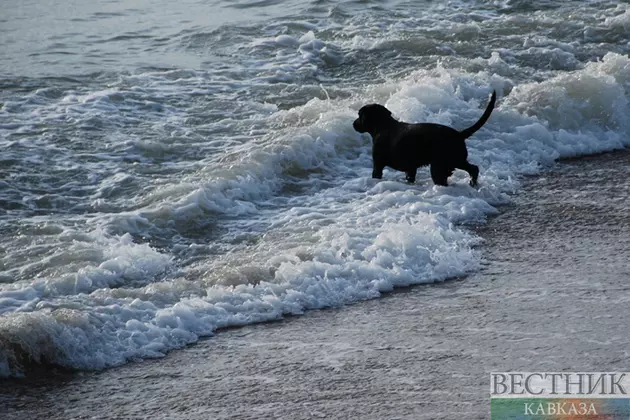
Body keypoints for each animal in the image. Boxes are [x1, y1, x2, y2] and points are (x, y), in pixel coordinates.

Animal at [354, 92, 496, 187]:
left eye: (359, 115)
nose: (353, 124)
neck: (383, 126)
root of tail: (459, 134)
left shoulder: (377, 165)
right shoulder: (410, 168)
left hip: (442, 165)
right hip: (457, 160)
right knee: (473, 168)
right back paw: (473, 183)